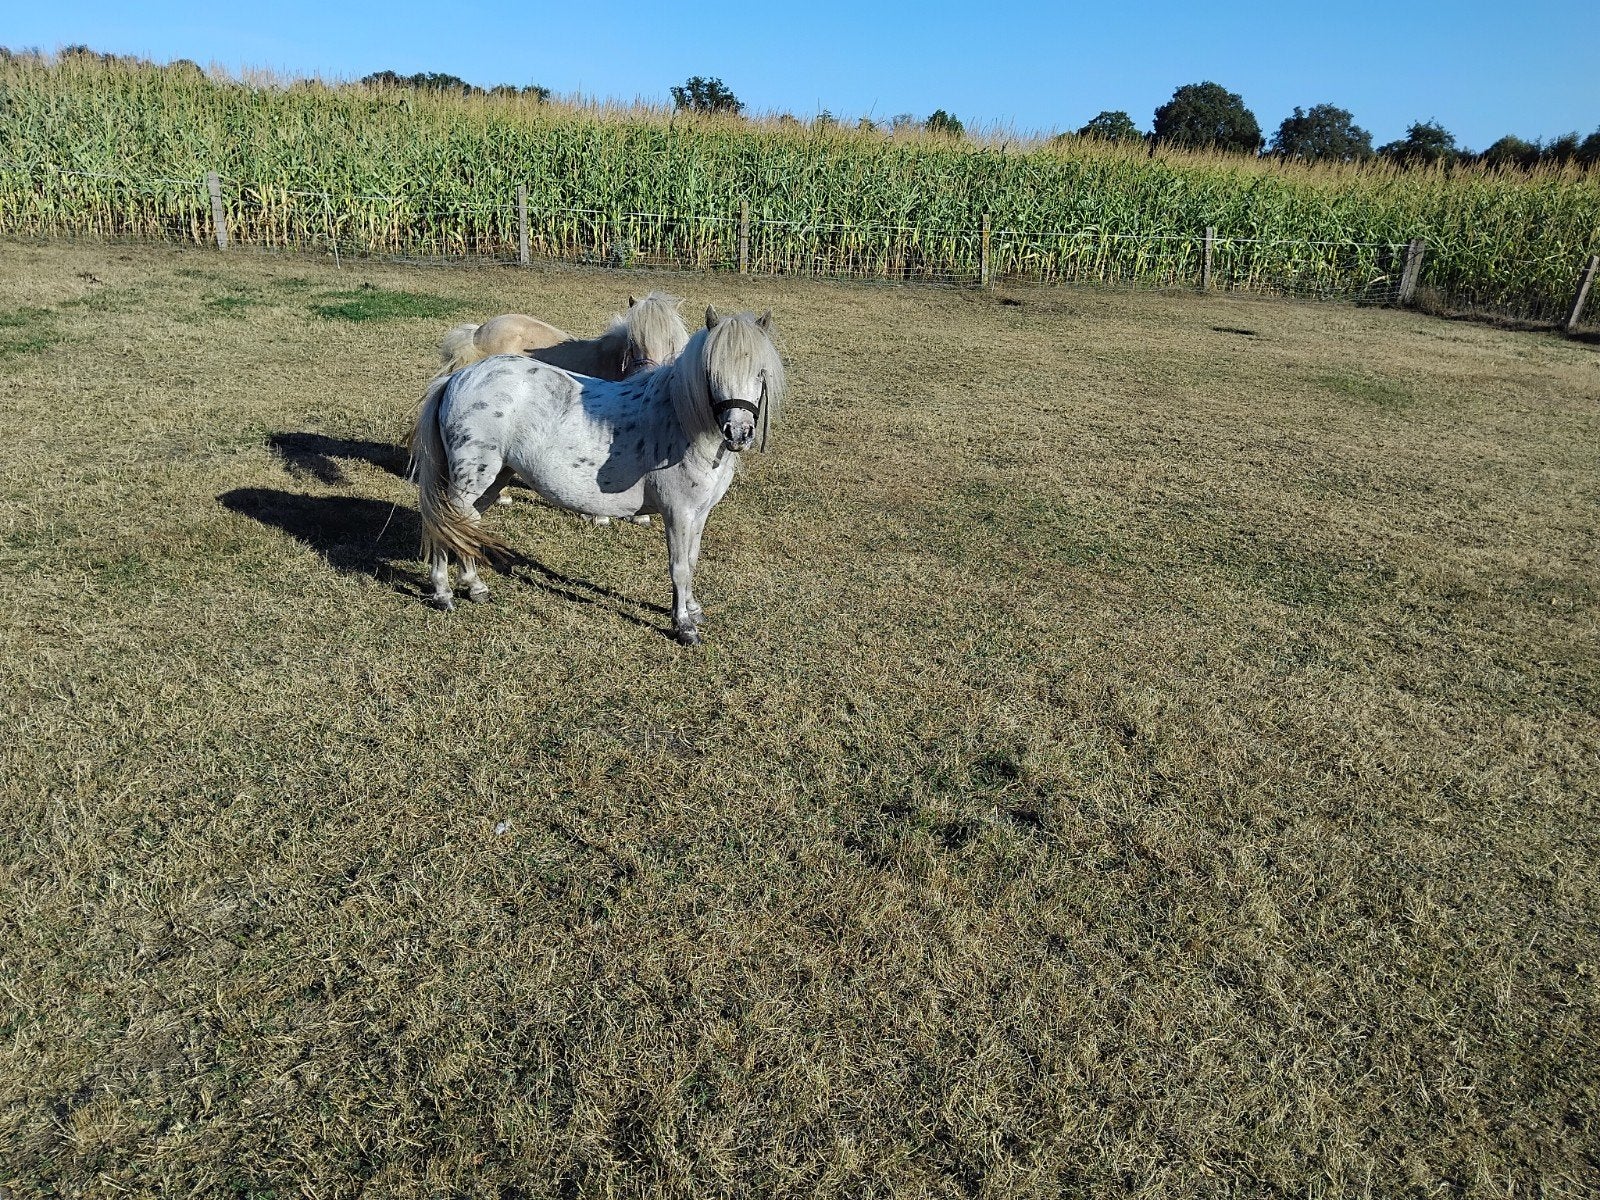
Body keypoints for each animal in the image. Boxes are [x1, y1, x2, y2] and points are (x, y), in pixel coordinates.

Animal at [409, 307, 784, 644]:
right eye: (710, 371)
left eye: (759, 372)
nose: (739, 433)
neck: (681, 421)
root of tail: (458, 377)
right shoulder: (678, 513)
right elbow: (679, 567)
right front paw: (684, 626)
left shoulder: (699, 513)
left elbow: (691, 561)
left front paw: (693, 610)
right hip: (469, 481)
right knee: (444, 524)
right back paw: (443, 593)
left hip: (494, 478)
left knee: (465, 525)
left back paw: (475, 587)